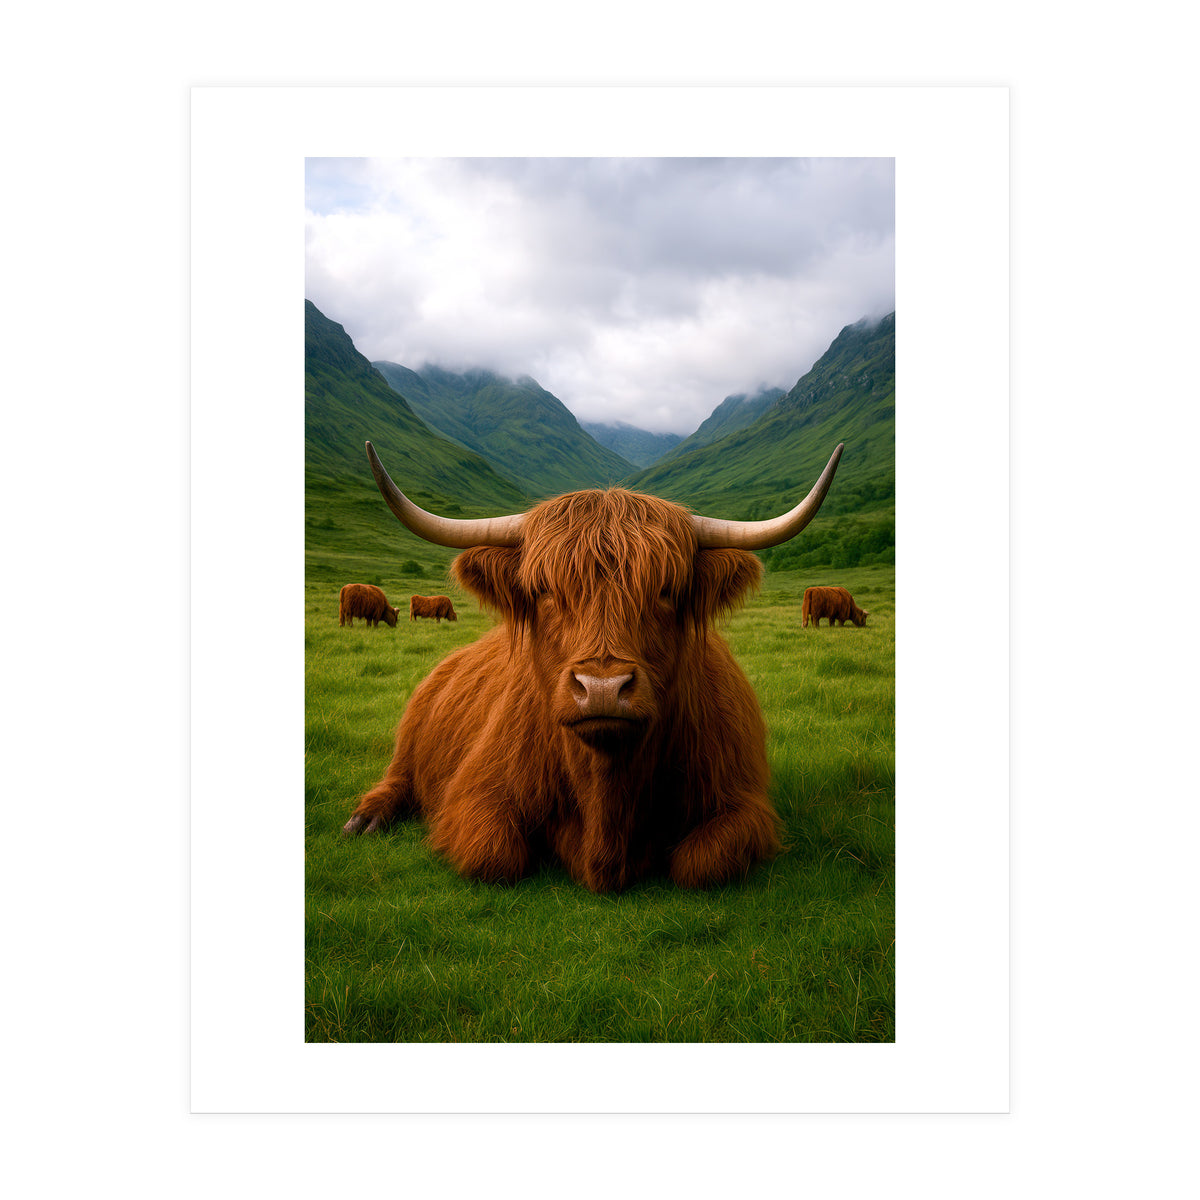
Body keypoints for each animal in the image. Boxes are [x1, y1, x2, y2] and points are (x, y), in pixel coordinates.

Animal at [343, 439, 843, 892]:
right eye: (544, 590)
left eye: (666, 591)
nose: (602, 688)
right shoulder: (475, 792)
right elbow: (495, 856)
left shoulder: (743, 803)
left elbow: (700, 864)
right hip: (410, 738)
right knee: (398, 778)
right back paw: (365, 819)